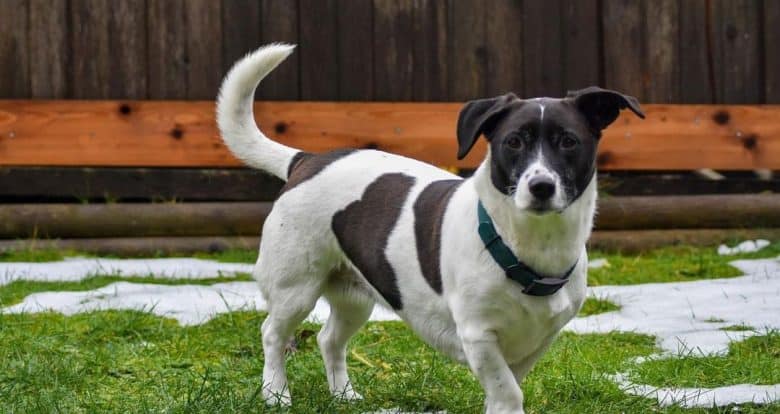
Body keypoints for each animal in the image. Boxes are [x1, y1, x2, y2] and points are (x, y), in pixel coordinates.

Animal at [216, 43, 644, 412]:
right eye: (514, 142)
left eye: (569, 141)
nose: (540, 186)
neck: (526, 246)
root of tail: (305, 160)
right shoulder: (478, 336)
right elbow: (508, 392)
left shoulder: (537, 339)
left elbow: (509, 386)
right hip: (295, 288)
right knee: (273, 334)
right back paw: (276, 394)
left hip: (355, 295)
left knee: (329, 340)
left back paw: (344, 395)